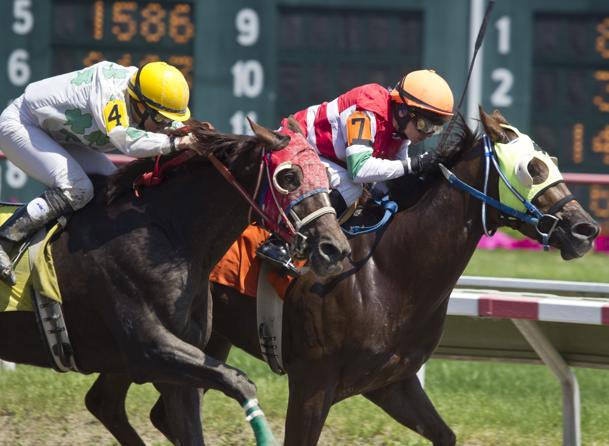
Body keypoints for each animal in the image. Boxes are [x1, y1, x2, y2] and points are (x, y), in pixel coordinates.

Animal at [0, 119, 350, 446]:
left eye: (326, 175)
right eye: (289, 177)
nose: (334, 249)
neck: (166, 235)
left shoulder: (179, 367)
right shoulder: (150, 349)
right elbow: (241, 382)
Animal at [76, 109, 600, 446]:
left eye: (552, 161)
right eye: (533, 167)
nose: (586, 229)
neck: (387, 273)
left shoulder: (393, 383)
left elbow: (446, 435)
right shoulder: (313, 383)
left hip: (189, 342)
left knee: (120, 404)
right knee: (117, 402)